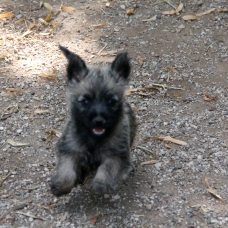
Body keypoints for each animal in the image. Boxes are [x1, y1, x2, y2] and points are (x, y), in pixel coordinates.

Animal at [50, 45, 136, 196]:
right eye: (85, 101)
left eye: (111, 101)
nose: (99, 120)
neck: (93, 138)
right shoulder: (68, 150)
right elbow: (66, 170)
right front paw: (61, 186)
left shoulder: (117, 155)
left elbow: (107, 167)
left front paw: (101, 183)